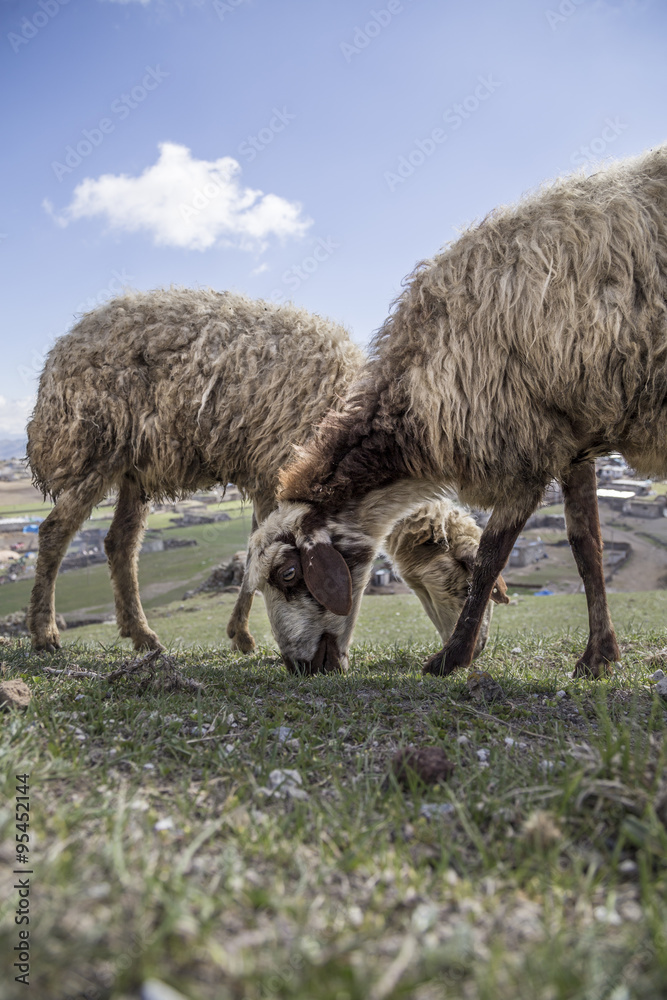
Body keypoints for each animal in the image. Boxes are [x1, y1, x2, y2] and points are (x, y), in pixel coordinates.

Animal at [26, 288, 507, 654]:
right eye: (463, 582)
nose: (479, 648)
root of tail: (60, 352)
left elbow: (255, 549)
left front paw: (239, 634)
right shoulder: (273, 474)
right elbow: (255, 553)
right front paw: (243, 635)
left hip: (133, 468)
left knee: (119, 544)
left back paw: (141, 634)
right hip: (95, 447)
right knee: (54, 533)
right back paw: (44, 634)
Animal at [247, 143, 667, 678]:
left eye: (288, 572)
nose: (298, 667)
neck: (417, 399)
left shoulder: (521, 448)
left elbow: (490, 557)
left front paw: (452, 657)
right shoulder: (571, 442)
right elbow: (586, 546)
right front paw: (599, 656)